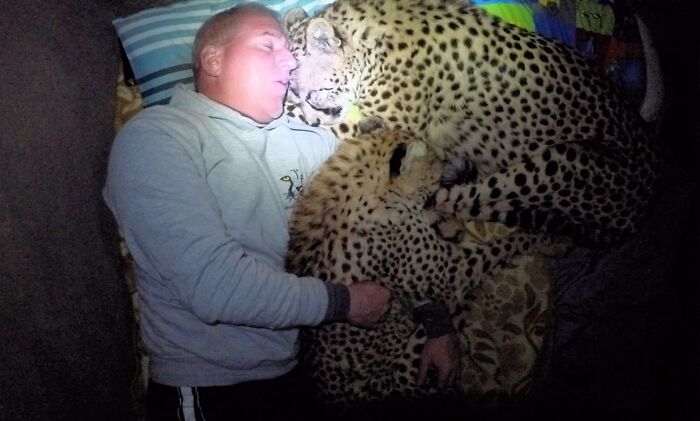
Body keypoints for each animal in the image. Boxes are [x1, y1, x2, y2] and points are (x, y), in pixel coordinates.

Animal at [283, 0, 662, 245]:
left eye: (314, 94)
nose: (311, 113)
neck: (371, 43)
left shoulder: (399, 126)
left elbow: (338, 125)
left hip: (566, 161)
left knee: (459, 197)